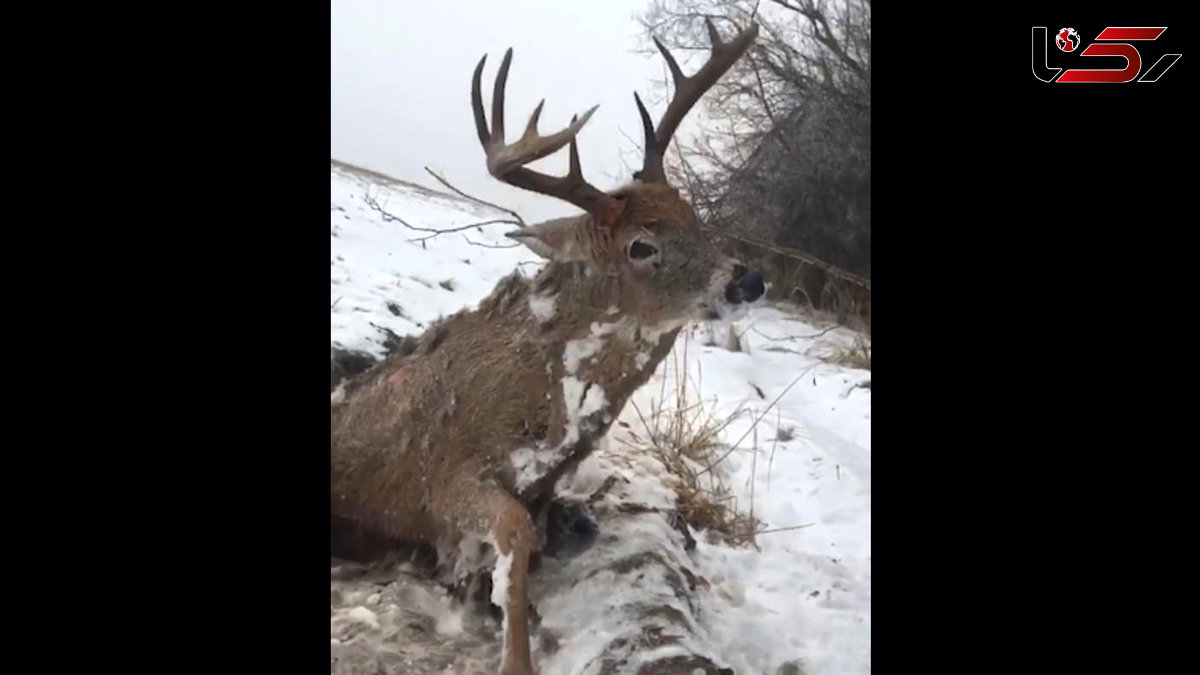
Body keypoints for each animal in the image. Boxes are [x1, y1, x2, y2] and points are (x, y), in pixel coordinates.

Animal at [331, 21, 758, 672]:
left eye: (694, 216)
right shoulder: (446, 476)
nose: (746, 280)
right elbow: (512, 532)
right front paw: (515, 655)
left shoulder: (544, 487)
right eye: (640, 245)